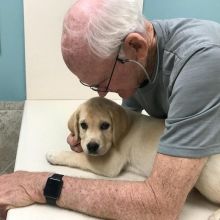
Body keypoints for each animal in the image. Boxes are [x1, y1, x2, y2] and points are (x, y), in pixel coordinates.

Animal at [46, 96, 220, 218]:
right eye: (83, 125)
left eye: (105, 125)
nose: (92, 146)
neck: (122, 130)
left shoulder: (110, 164)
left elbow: (80, 158)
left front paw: (55, 154)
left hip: (205, 176)